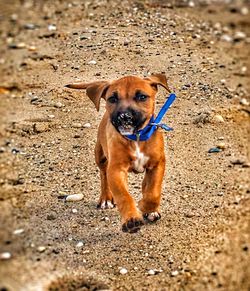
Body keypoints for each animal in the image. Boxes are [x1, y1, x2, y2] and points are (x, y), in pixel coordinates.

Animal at [65, 74, 171, 234]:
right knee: (103, 175)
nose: (124, 116)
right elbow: (124, 196)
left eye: (142, 96)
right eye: (112, 99)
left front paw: (148, 208)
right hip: (100, 155)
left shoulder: (157, 164)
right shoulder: (116, 169)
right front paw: (131, 219)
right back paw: (106, 199)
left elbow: (153, 192)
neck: (136, 137)